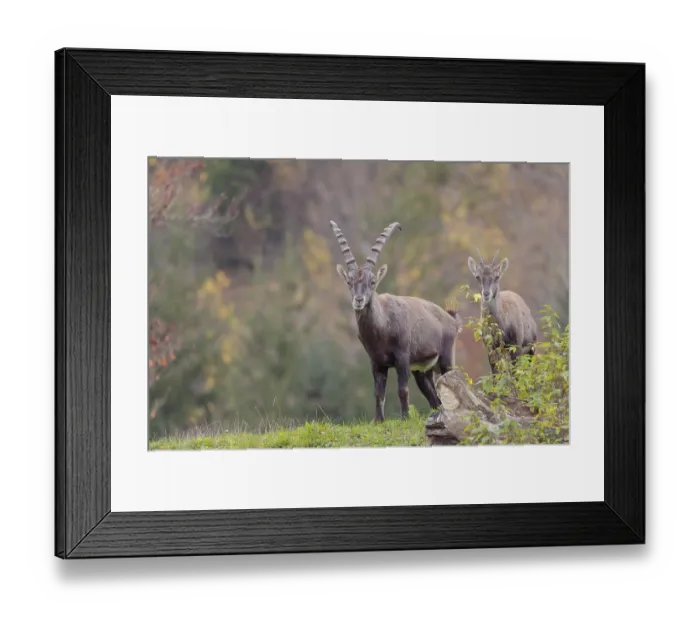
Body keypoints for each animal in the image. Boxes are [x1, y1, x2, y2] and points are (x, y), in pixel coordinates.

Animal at [330, 220, 463, 422]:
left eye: (372, 282)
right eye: (349, 282)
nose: (359, 300)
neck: (382, 326)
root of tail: (451, 319)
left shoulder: (402, 358)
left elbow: (402, 390)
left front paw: (405, 418)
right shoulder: (376, 363)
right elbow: (378, 393)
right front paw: (378, 420)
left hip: (445, 359)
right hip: (422, 370)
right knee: (433, 396)